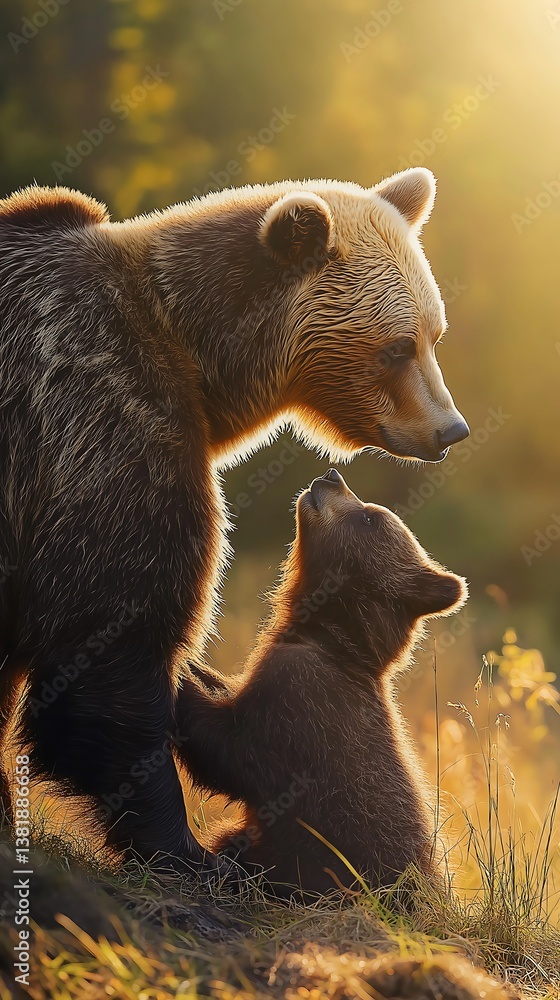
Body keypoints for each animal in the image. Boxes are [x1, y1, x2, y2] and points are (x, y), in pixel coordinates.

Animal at [175, 469, 467, 898]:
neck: (326, 636)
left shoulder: (301, 703)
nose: (331, 476)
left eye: (369, 517)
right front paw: (199, 667)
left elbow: (232, 753)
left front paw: (180, 674)